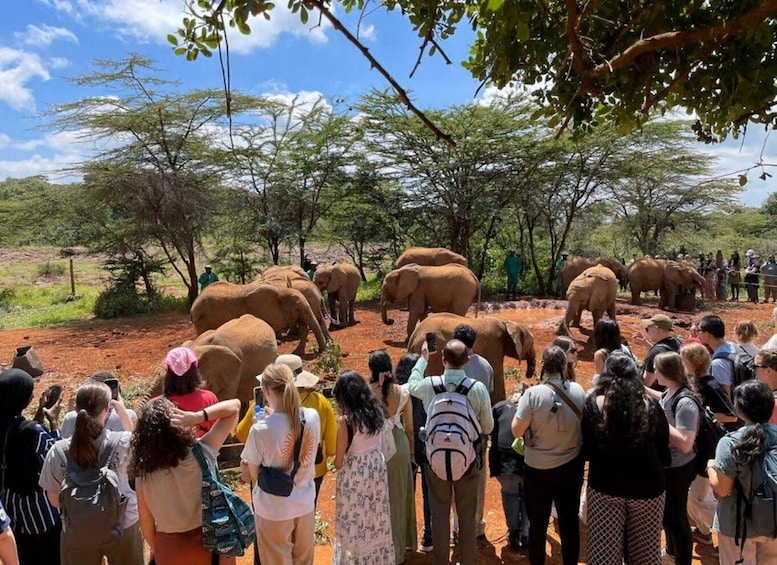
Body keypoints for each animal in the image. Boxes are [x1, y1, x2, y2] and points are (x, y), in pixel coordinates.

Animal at [194, 280, 330, 354]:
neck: (280, 291)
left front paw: (297, 353)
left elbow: (303, 326)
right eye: (298, 309)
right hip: (202, 321)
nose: (318, 350)